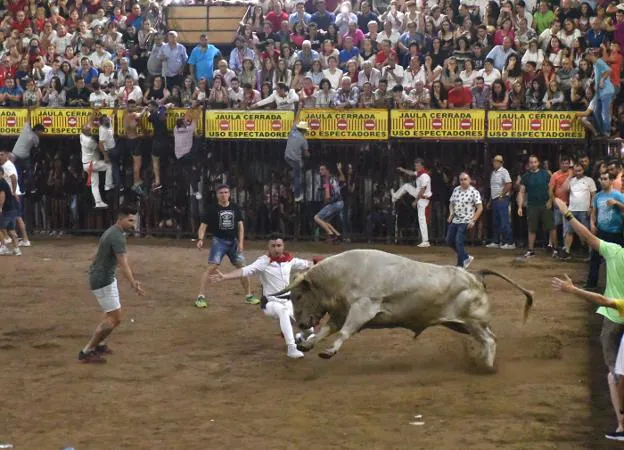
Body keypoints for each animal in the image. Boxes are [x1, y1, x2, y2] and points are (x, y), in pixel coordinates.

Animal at [270, 248, 532, 370]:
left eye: (299, 295)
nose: (302, 324)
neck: (341, 275)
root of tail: (475, 275)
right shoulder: (339, 314)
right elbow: (326, 330)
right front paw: (308, 344)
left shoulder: (362, 308)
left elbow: (344, 332)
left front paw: (329, 351)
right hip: (460, 324)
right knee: (491, 336)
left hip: (472, 322)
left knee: (489, 339)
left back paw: (486, 367)